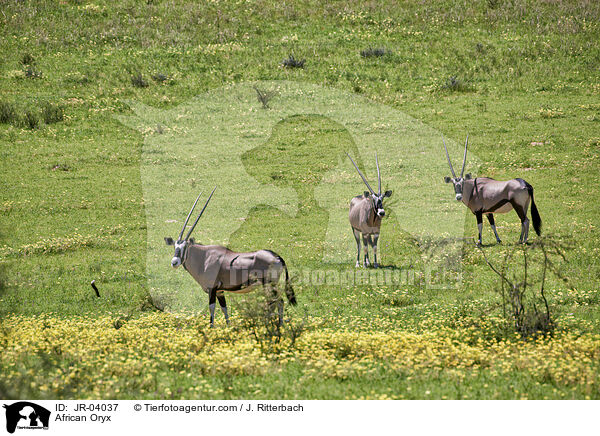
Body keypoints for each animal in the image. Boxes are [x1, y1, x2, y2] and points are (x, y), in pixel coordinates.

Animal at [165, 187, 296, 328]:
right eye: (175, 246)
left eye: (185, 247)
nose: (174, 262)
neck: (204, 258)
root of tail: (277, 257)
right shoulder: (220, 291)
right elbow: (224, 308)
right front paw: (228, 326)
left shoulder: (212, 289)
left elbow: (212, 308)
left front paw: (211, 327)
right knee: (276, 302)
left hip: (269, 285)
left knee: (277, 301)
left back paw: (276, 324)